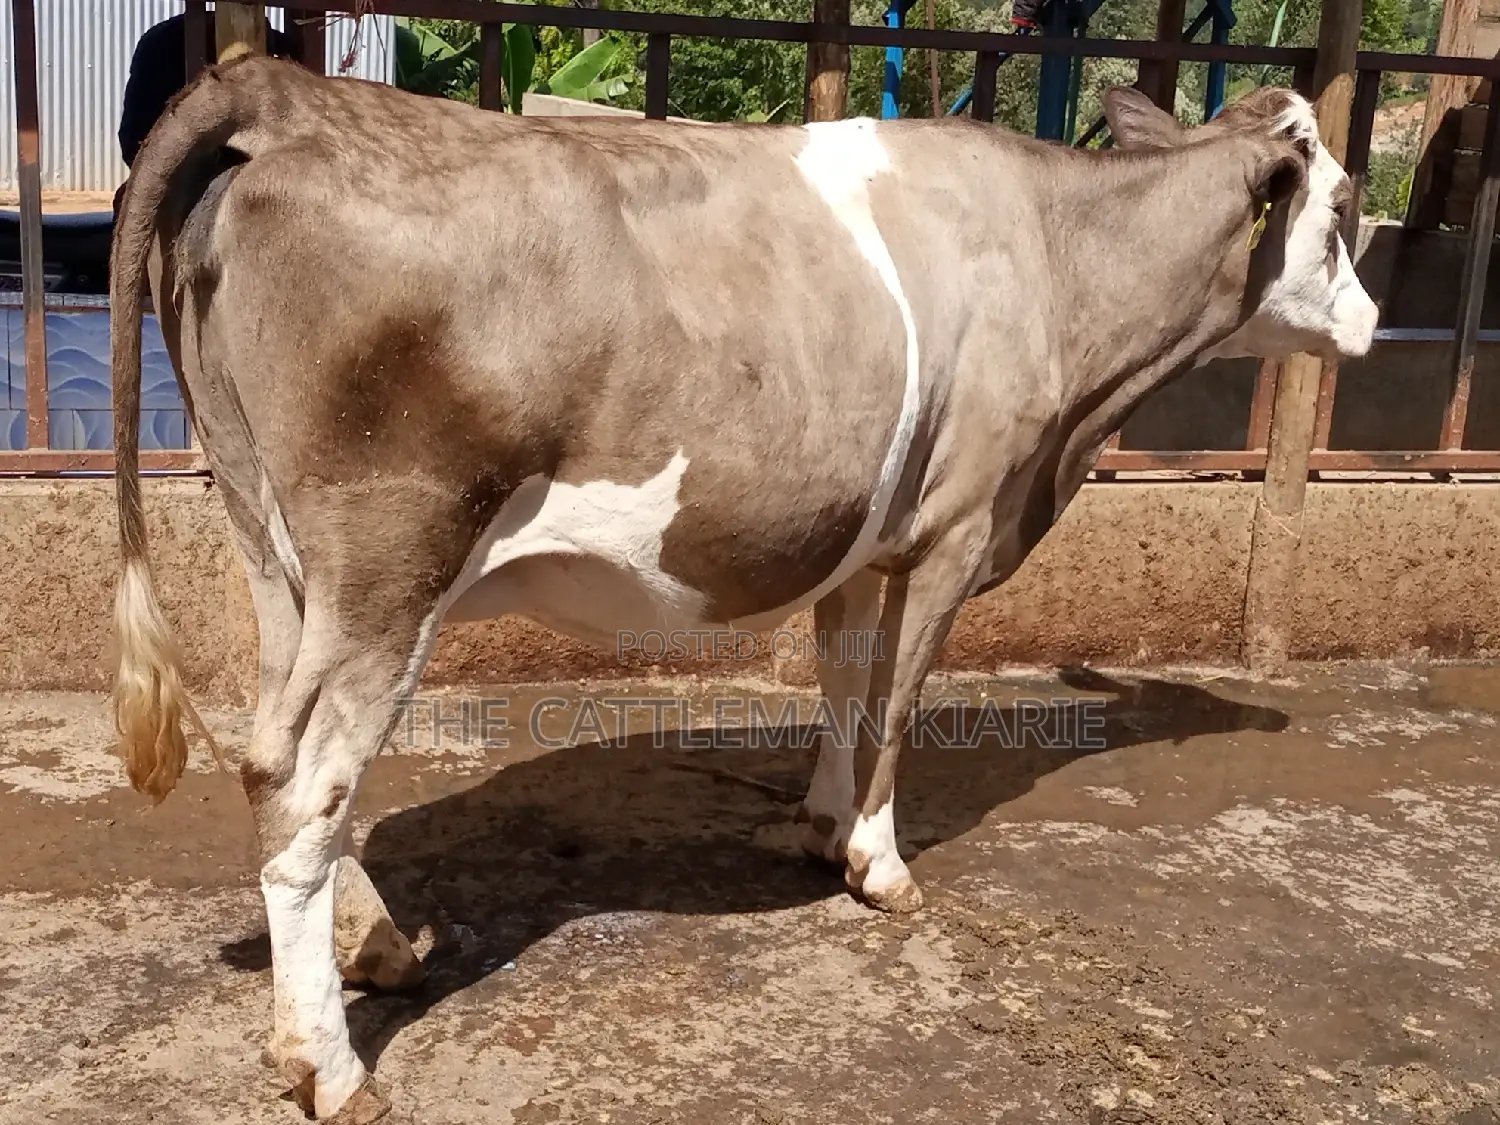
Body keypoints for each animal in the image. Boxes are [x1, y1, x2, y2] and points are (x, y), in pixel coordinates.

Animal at [106, 53, 1376, 1119]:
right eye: (1344, 211)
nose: (1367, 321)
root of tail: (288, 93)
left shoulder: (865, 537)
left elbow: (845, 685)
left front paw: (819, 825)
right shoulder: (958, 526)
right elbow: (901, 701)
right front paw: (879, 865)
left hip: (275, 549)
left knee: (274, 756)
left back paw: (375, 951)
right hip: (391, 564)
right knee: (303, 779)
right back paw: (328, 1065)